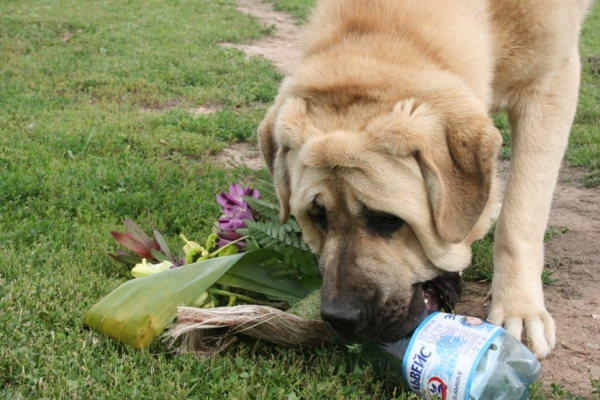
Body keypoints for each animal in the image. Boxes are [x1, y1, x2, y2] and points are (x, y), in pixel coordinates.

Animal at [260, 0, 592, 360]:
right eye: (317, 217)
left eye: (388, 220)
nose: (340, 317)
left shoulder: (550, 83)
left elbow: (522, 215)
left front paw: (519, 308)